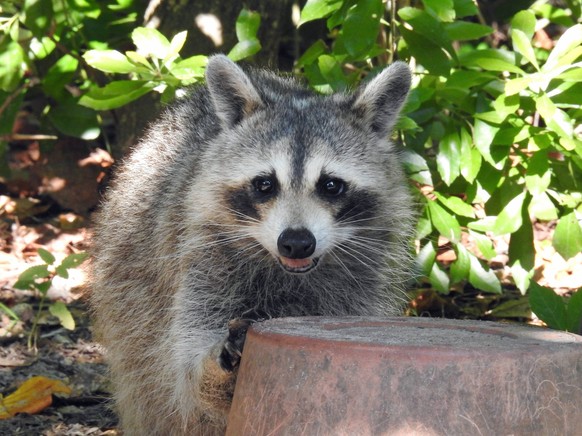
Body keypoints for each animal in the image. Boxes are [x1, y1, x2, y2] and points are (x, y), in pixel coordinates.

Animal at [90, 55, 416, 436]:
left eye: (331, 185)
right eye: (264, 184)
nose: (296, 243)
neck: (287, 272)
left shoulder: (359, 278)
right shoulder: (201, 254)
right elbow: (186, 364)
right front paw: (215, 366)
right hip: (129, 273)